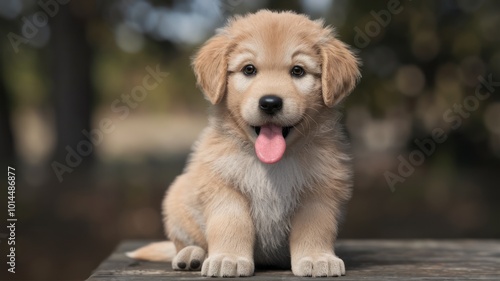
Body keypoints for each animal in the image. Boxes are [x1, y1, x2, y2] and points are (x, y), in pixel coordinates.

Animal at [129, 9, 362, 276]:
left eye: (298, 71)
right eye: (249, 69)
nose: (270, 103)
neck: (273, 163)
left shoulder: (319, 192)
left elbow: (315, 228)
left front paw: (316, 257)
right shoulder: (224, 187)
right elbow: (232, 225)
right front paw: (227, 258)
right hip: (176, 201)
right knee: (186, 243)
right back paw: (191, 255)